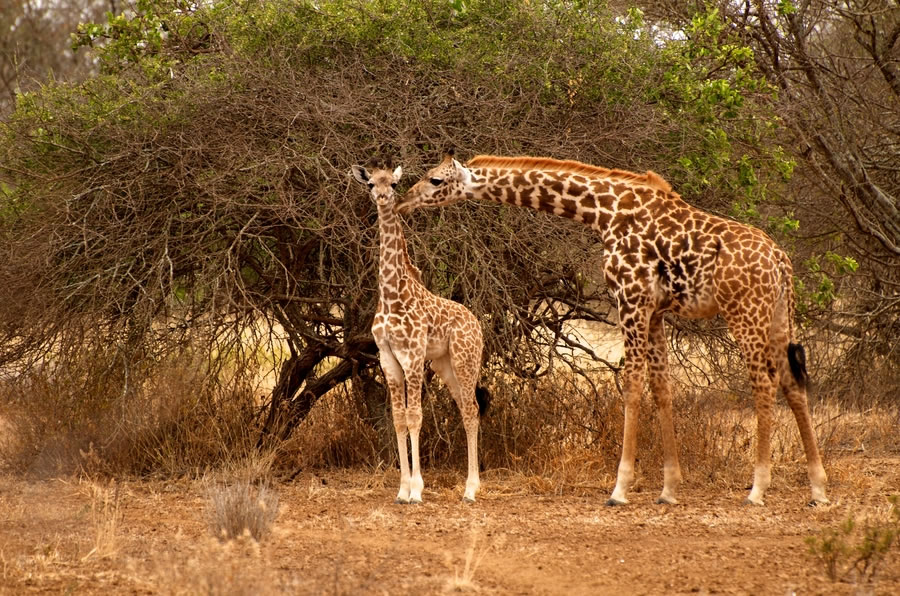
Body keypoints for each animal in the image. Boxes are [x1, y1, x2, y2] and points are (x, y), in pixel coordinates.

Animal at [354, 163, 492, 502]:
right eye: (370, 184)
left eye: (392, 183)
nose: (382, 197)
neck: (391, 294)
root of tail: (476, 323)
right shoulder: (387, 357)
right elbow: (397, 418)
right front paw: (402, 489)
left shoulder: (413, 355)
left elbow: (415, 415)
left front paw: (416, 489)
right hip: (445, 364)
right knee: (466, 408)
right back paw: (471, 485)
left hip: (466, 360)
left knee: (472, 410)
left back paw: (471, 489)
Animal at [400, 154, 828, 508]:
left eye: (435, 179)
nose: (405, 200)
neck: (604, 212)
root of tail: (782, 262)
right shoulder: (655, 312)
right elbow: (661, 389)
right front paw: (669, 489)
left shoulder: (631, 300)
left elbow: (632, 386)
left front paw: (620, 489)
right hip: (779, 317)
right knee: (793, 383)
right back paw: (818, 489)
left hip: (746, 314)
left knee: (764, 384)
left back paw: (757, 489)